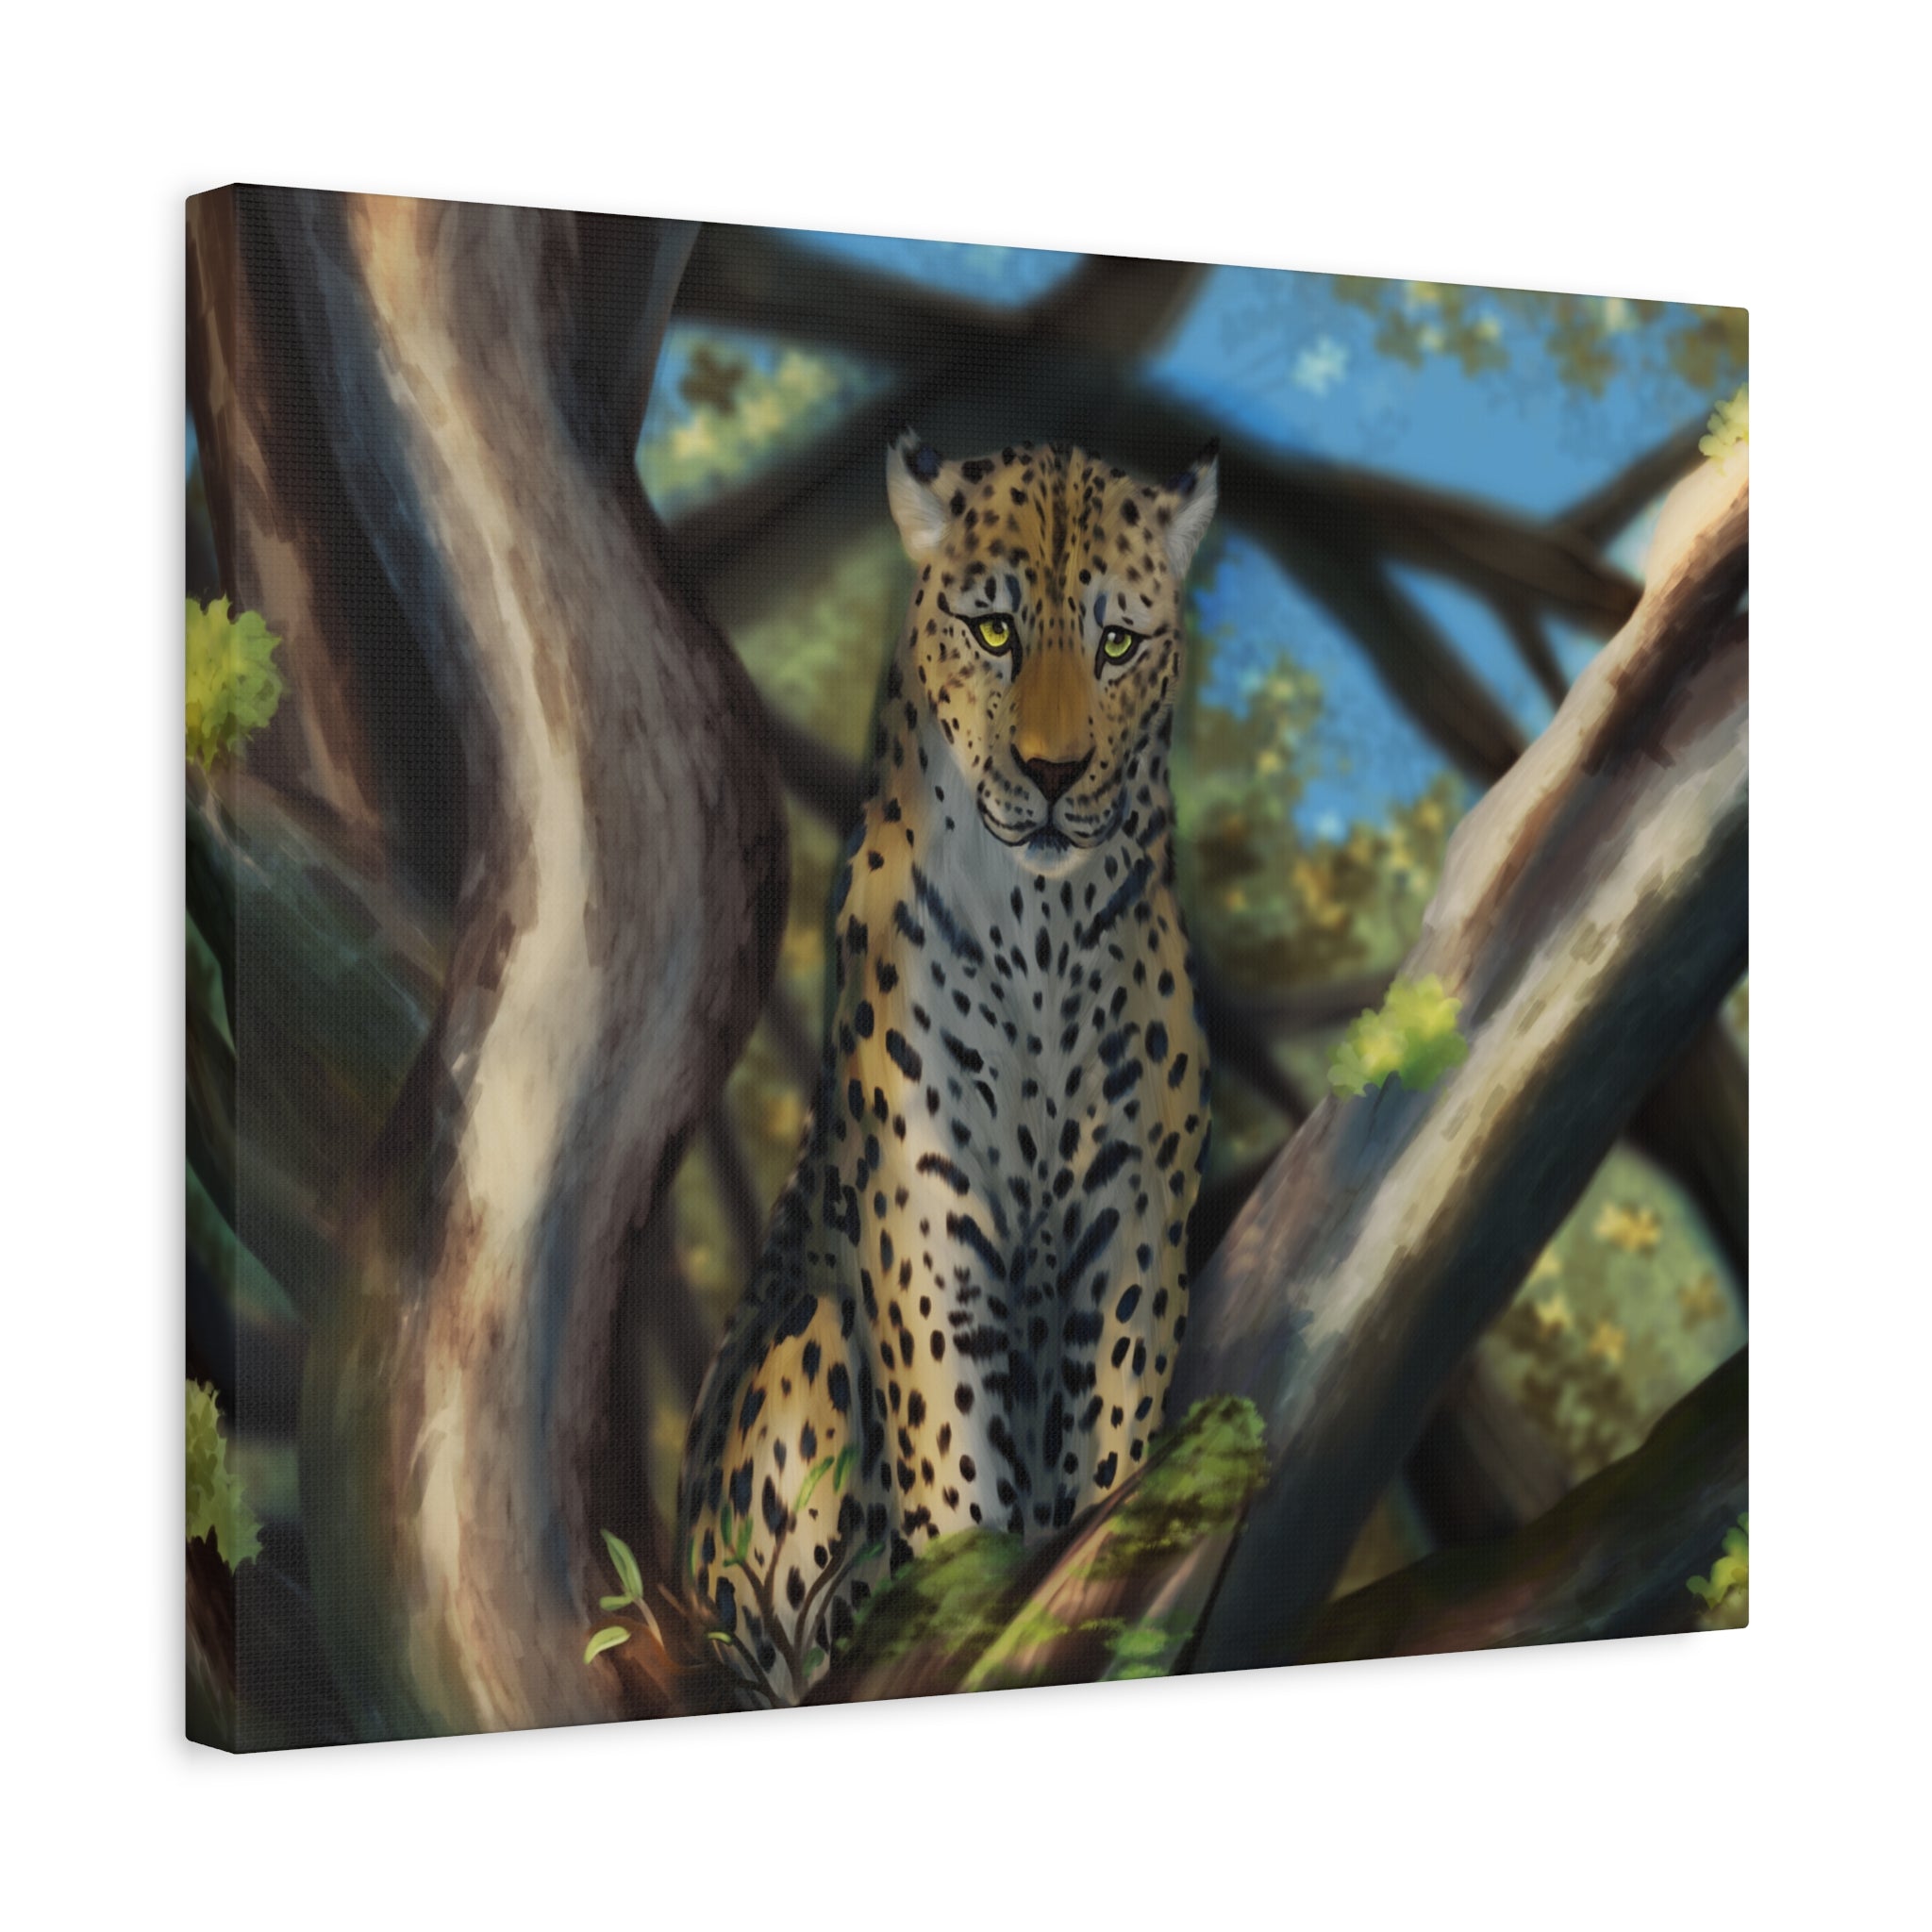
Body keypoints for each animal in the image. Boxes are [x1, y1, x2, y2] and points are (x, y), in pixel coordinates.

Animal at [675, 428, 1219, 1705]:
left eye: (1117, 642)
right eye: (994, 630)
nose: (1055, 771)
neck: (1040, 927)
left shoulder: (1134, 1205)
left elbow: (1115, 1414)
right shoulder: (923, 1204)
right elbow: (946, 1432)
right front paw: (971, 1583)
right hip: (805, 1353)